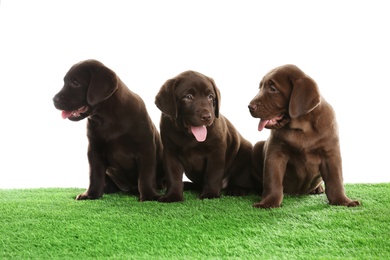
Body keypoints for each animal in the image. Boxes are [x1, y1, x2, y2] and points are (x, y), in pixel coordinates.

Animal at [52, 59, 162, 201]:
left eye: (75, 83)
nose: (53, 100)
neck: (108, 118)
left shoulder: (145, 147)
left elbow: (146, 174)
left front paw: (149, 195)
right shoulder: (94, 149)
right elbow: (95, 174)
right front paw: (91, 194)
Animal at [155, 70, 253, 202]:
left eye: (210, 96)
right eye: (188, 97)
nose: (207, 116)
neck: (189, 137)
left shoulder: (216, 151)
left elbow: (212, 174)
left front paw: (209, 195)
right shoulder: (170, 152)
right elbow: (173, 175)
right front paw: (172, 196)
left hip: (245, 152)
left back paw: (236, 189)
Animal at [248, 64, 362, 208]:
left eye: (273, 89)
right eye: (260, 87)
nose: (249, 106)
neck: (302, 128)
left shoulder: (331, 153)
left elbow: (336, 180)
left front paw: (343, 201)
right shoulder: (275, 153)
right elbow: (272, 180)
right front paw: (268, 202)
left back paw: (318, 189)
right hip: (258, 146)